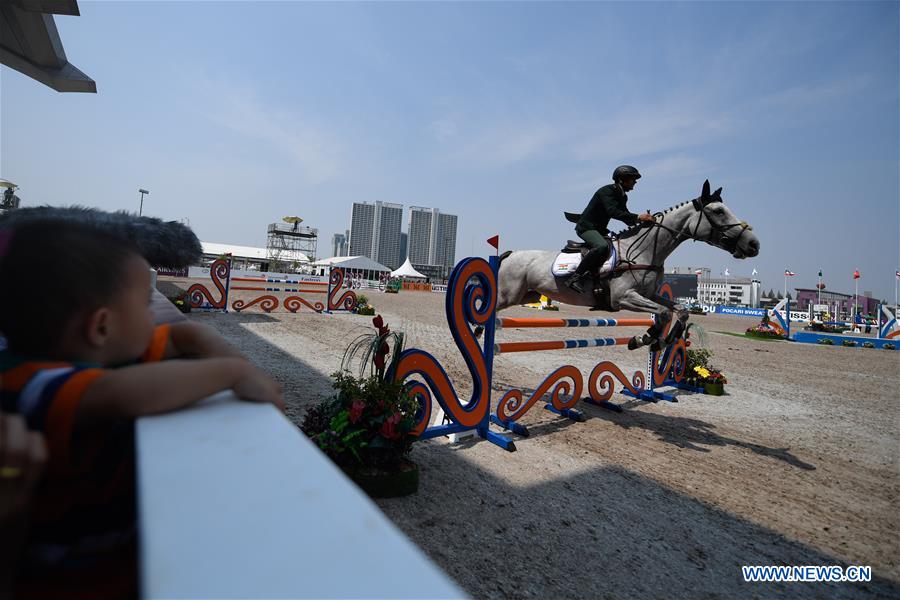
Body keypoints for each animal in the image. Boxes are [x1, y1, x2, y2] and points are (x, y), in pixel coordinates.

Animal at [492, 180, 760, 350]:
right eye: (718, 211)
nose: (753, 244)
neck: (644, 250)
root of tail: (510, 254)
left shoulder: (649, 294)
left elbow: (679, 311)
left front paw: (660, 340)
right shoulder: (623, 298)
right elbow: (663, 313)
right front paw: (644, 339)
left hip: (527, 295)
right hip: (508, 294)